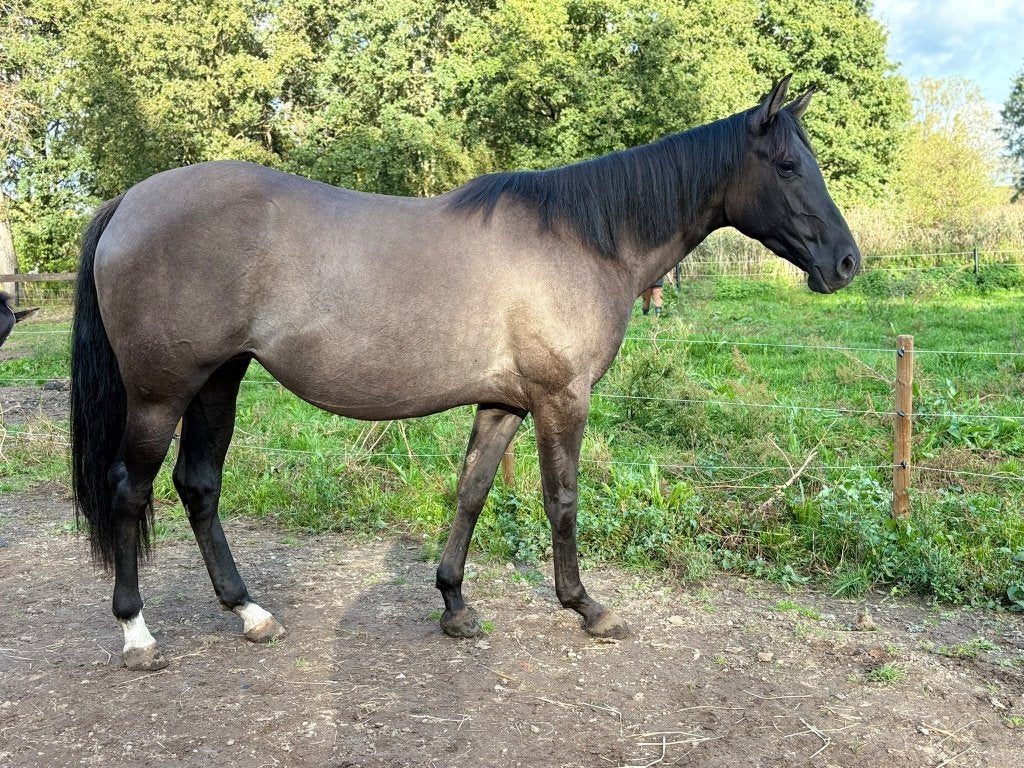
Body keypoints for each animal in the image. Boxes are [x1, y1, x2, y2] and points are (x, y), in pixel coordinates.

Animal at [70, 75, 859, 671]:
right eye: (787, 166)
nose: (847, 263)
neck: (584, 241)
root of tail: (129, 201)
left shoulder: (504, 404)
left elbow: (472, 494)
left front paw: (453, 603)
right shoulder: (561, 401)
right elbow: (561, 501)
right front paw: (587, 607)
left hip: (218, 380)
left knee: (198, 487)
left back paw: (250, 613)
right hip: (162, 392)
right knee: (131, 489)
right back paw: (137, 633)